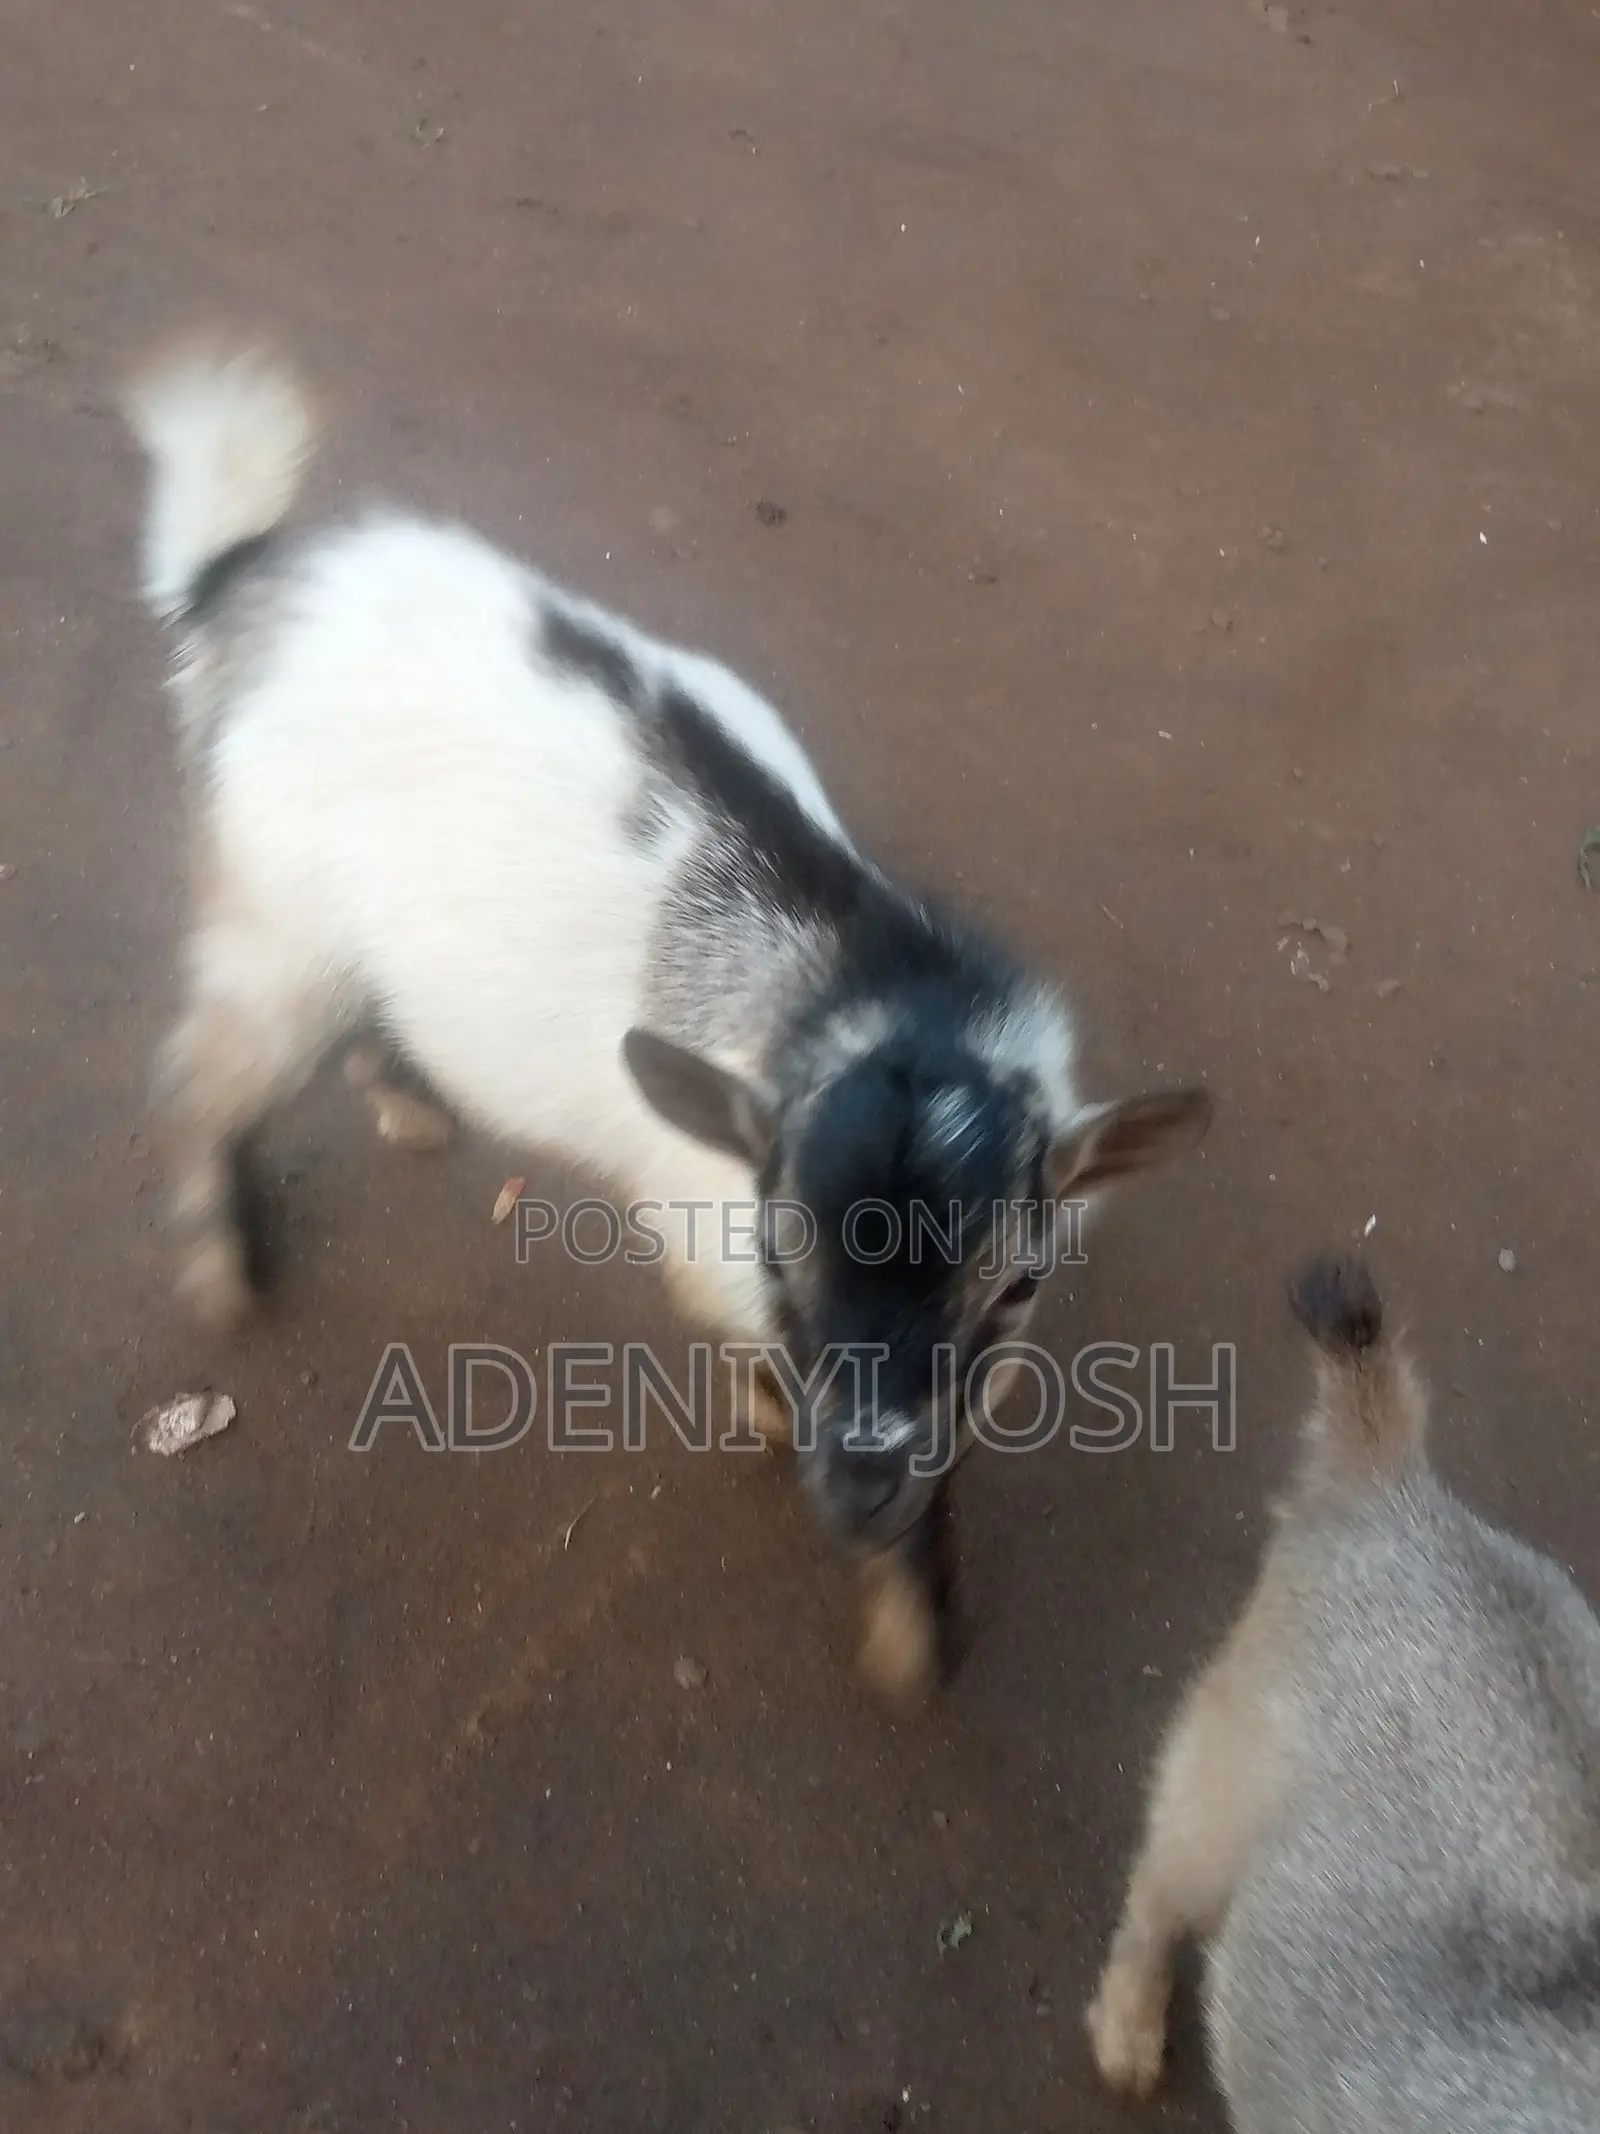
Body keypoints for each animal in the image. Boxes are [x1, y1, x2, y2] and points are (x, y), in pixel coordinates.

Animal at [123, 335, 1211, 1710]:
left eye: (1015, 1283)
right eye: (779, 1248)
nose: (858, 1491)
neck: (868, 990)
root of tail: (244, 588)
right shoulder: (715, 1246)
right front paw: (890, 1600)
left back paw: (408, 1099)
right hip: (274, 922)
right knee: (209, 1071)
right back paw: (224, 1255)